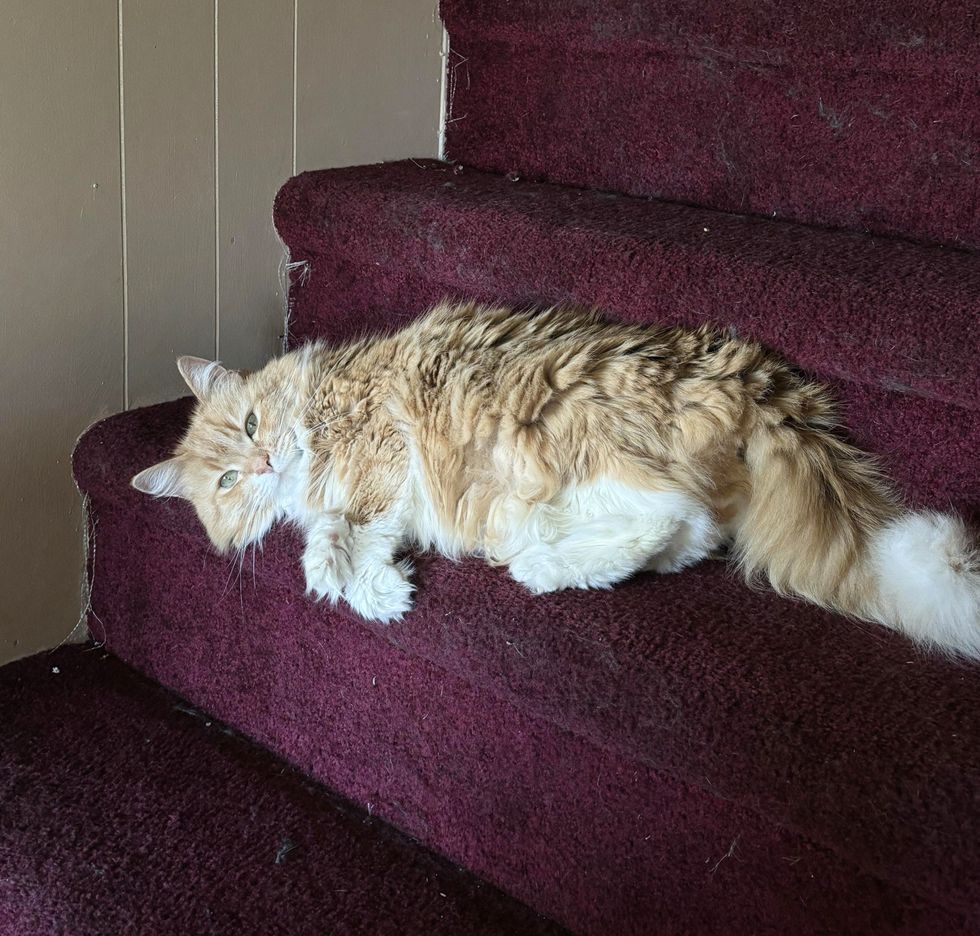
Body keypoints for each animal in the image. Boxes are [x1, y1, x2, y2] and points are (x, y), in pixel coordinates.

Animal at [132, 300, 980, 660]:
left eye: (249, 428)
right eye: (228, 481)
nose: (266, 465)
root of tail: (747, 372)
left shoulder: (380, 457)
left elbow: (340, 537)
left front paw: (375, 588)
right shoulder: (362, 499)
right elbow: (331, 551)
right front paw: (377, 592)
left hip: (572, 447)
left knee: (672, 517)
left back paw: (543, 566)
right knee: (692, 532)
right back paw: (560, 557)